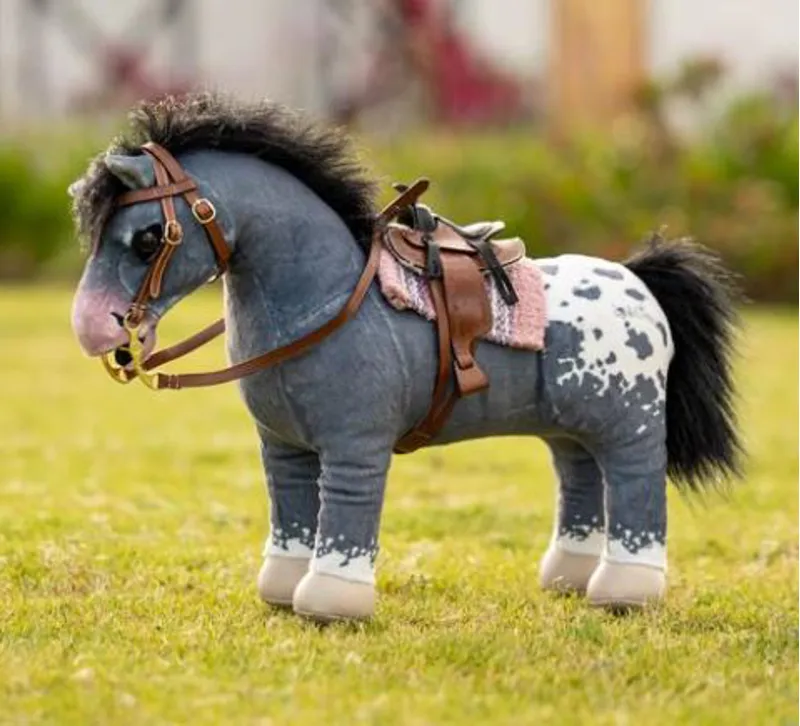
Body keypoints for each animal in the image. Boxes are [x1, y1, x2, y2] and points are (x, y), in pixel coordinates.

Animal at [70, 93, 741, 622]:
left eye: (148, 237)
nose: (91, 328)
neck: (329, 299)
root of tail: (637, 280)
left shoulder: (354, 447)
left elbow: (345, 514)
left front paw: (330, 602)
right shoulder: (283, 449)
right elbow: (291, 513)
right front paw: (284, 591)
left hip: (630, 427)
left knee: (636, 485)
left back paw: (625, 591)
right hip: (571, 429)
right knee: (581, 478)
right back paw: (570, 579)